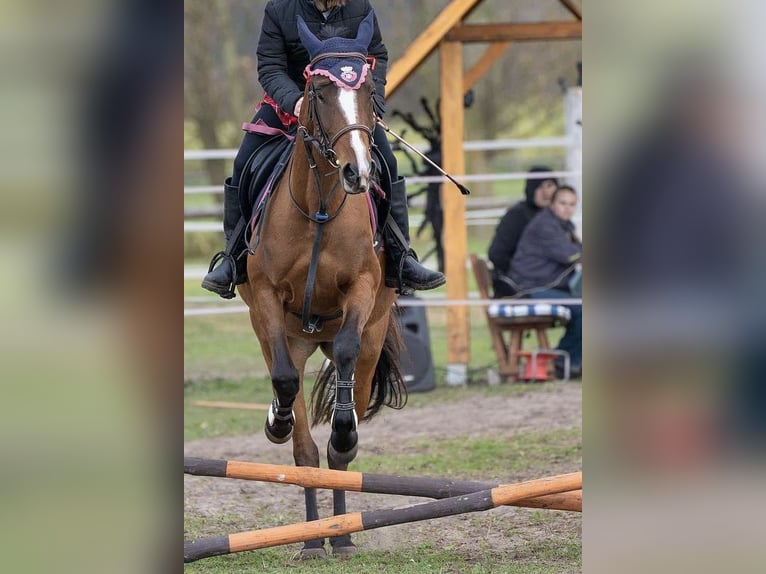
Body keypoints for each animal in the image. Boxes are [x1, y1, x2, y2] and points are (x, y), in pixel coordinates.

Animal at [238, 14, 408, 564]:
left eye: (365, 90)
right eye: (318, 89)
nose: (359, 171)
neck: (318, 207)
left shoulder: (363, 289)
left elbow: (349, 352)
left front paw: (345, 431)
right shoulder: (266, 301)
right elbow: (285, 383)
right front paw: (276, 419)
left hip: (371, 338)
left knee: (342, 425)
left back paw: (343, 530)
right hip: (288, 336)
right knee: (303, 446)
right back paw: (315, 538)